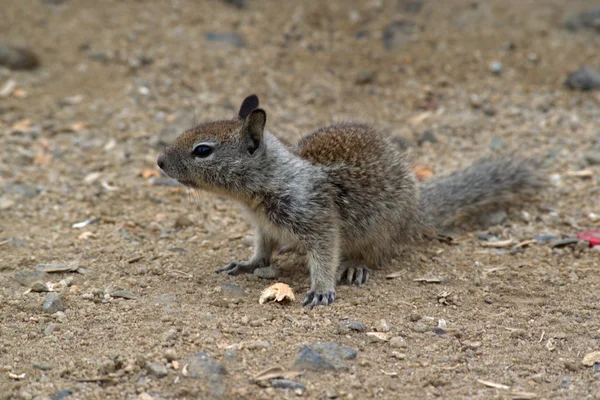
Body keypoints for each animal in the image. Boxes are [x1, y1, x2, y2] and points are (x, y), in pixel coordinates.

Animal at [157, 95, 548, 308]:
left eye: (202, 150)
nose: (159, 162)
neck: (266, 183)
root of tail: (417, 208)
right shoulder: (263, 227)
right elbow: (263, 250)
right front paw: (248, 263)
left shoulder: (318, 221)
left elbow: (324, 254)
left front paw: (321, 289)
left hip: (378, 231)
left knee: (373, 254)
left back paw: (355, 266)